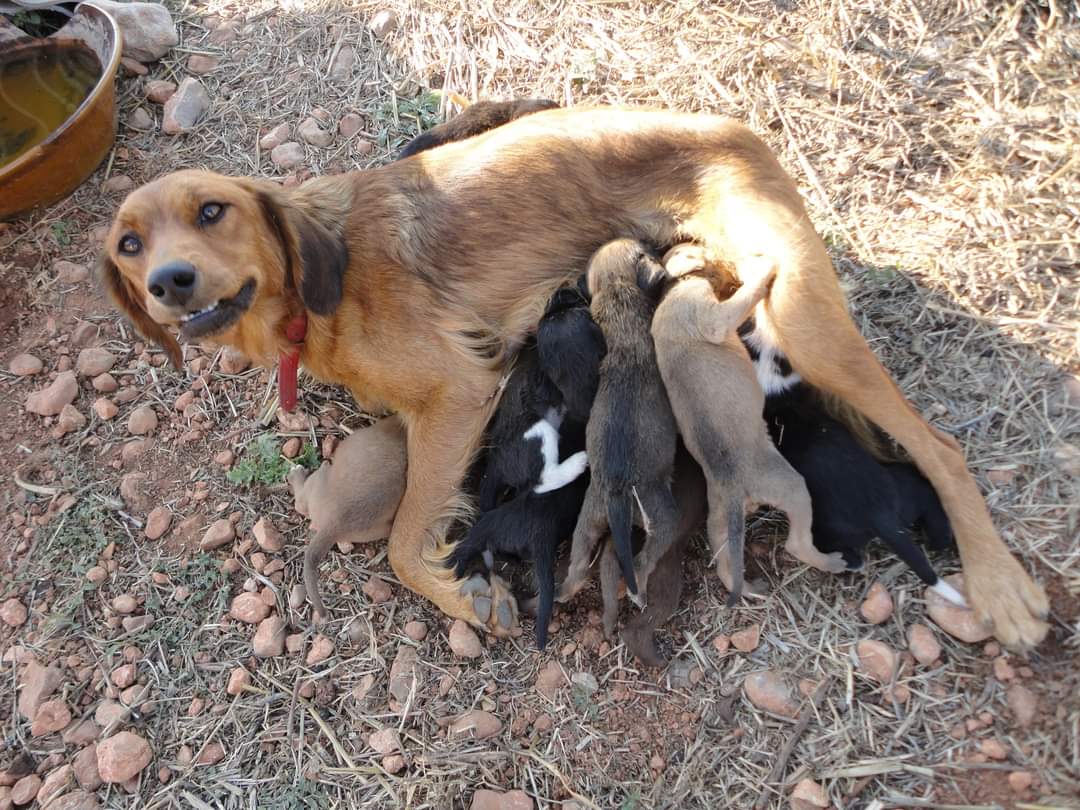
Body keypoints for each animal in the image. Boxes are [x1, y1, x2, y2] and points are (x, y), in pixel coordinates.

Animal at [648, 243, 842, 604]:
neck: (672, 289)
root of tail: (739, 492)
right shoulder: (713, 317)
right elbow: (746, 296)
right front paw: (765, 271)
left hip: (719, 525)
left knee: (727, 569)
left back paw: (751, 590)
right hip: (791, 486)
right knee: (797, 544)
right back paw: (833, 562)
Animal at [764, 384, 967, 604]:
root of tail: (881, 516)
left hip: (825, 527)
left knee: (834, 548)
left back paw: (847, 562)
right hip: (907, 482)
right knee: (930, 500)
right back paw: (939, 542)